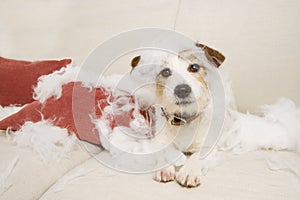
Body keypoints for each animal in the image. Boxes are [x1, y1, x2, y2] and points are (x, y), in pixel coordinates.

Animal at [129, 42, 225, 188]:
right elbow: (163, 150)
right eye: (165, 72)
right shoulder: (160, 140)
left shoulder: (209, 145)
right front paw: (164, 167)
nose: (182, 90)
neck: (184, 119)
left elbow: (197, 156)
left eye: (194, 67)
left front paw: (189, 171)